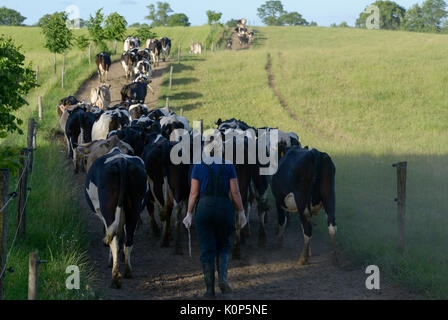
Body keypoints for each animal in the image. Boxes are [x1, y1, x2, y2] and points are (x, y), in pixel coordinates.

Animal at [83, 148, 148, 288]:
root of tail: (121, 161)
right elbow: (122, 235)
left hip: (109, 210)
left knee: (113, 241)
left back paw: (115, 277)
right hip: (134, 209)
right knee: (129, 240)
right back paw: (127, 271)